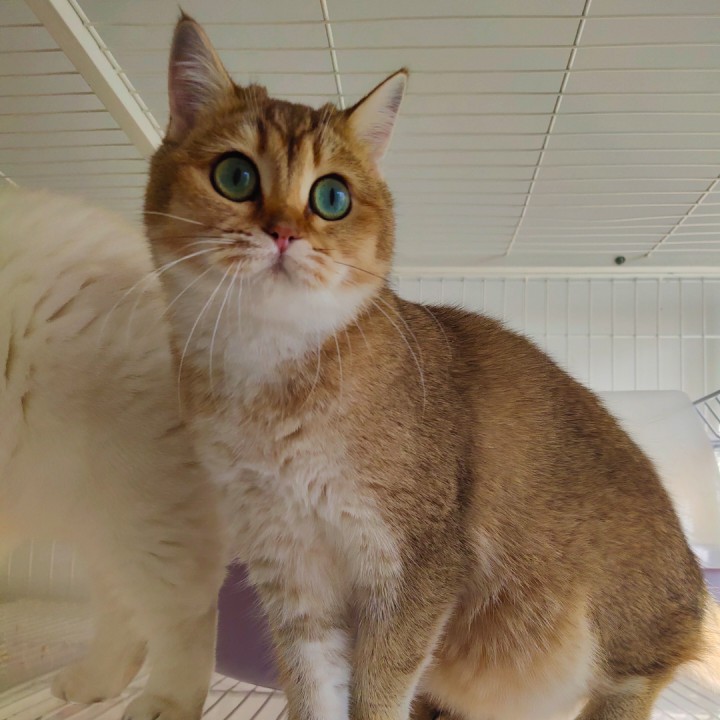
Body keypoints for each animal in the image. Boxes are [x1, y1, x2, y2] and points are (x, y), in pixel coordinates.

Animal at [0, 188, 226, 720]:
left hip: (138, 505)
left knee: (183, 612)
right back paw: (90, 684)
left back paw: (164, 703)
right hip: (100, 518)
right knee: (126, 614)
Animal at [144, 15, 720, 720]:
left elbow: (378, 692)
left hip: (611, 628)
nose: (282, 232)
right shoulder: (293, 577)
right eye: (235, 176)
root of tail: (696, 595)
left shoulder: (417, 566)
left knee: (633, 677)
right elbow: (312, 688)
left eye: (330, 196)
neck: (270, 387)